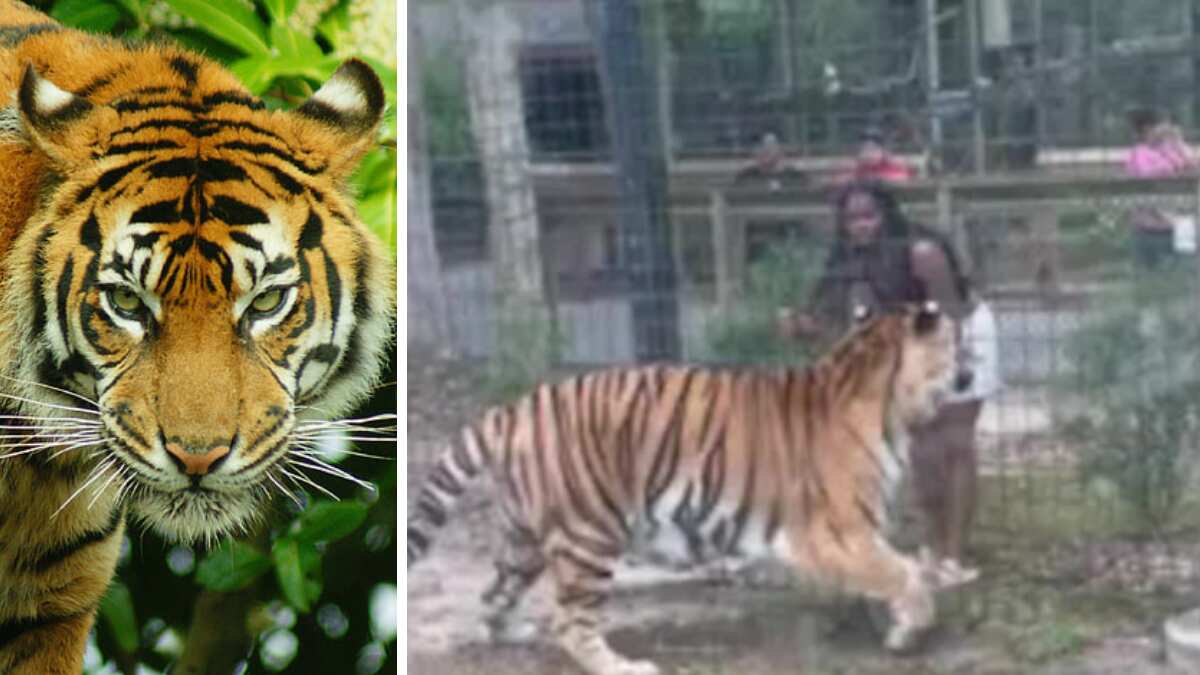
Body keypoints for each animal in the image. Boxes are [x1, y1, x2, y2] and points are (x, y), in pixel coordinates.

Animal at [408, 302, 968, 675]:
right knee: (571, 621)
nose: (970, 370)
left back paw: (511, 632)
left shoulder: (854, 534)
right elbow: (902, 573)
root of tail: (515, 409)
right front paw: (911, 628)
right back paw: (624, 667)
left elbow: (897, 569)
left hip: (524, 539)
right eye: (956, 343)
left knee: (494, 593)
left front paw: (896, 619)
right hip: (590, 534)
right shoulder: (836, 531)